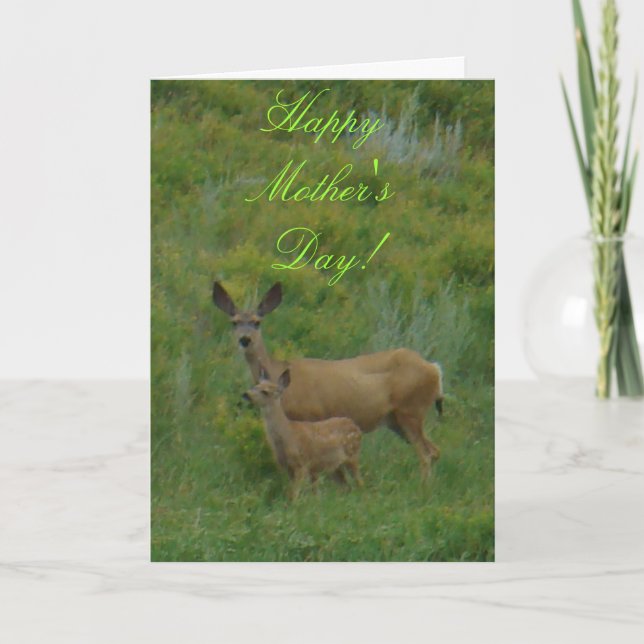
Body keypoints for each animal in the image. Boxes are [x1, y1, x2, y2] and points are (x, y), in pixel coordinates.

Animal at [213, 281, 444, 479]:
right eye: (234, 322)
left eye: (257, 322)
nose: (245, 339)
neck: (279, 373)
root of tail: (434, 368)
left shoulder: (311, 415)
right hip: (395, 419)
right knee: (434, 450)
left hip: (410, 410)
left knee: (426, 454)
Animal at [243, 366, 363, 499]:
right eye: (255, 386)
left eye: (265, 391)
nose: (246, 394)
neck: (286, 434)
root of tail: (355, 426)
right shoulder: (288, 467)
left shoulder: (302, 464)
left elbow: (293, 494)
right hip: (335, 465)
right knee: (346, 486)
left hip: (352, 454)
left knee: (360, 482)